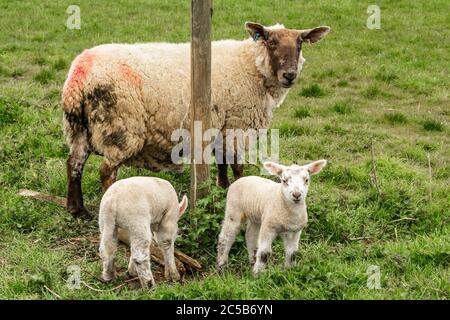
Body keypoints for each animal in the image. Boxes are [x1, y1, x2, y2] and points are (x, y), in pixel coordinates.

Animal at [62, 21, 330, 218]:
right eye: (271, 42)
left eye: (300, 43)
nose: (290, 75)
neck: (251, 66)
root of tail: (79, 75)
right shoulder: (237, 124)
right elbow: (237, 166)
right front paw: (239, 188)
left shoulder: (221, 126)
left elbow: (222, 162)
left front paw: (223, 188)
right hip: (119, 127)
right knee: (107, 171)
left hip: (79, 129)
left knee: (74, 164)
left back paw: (77, 210)